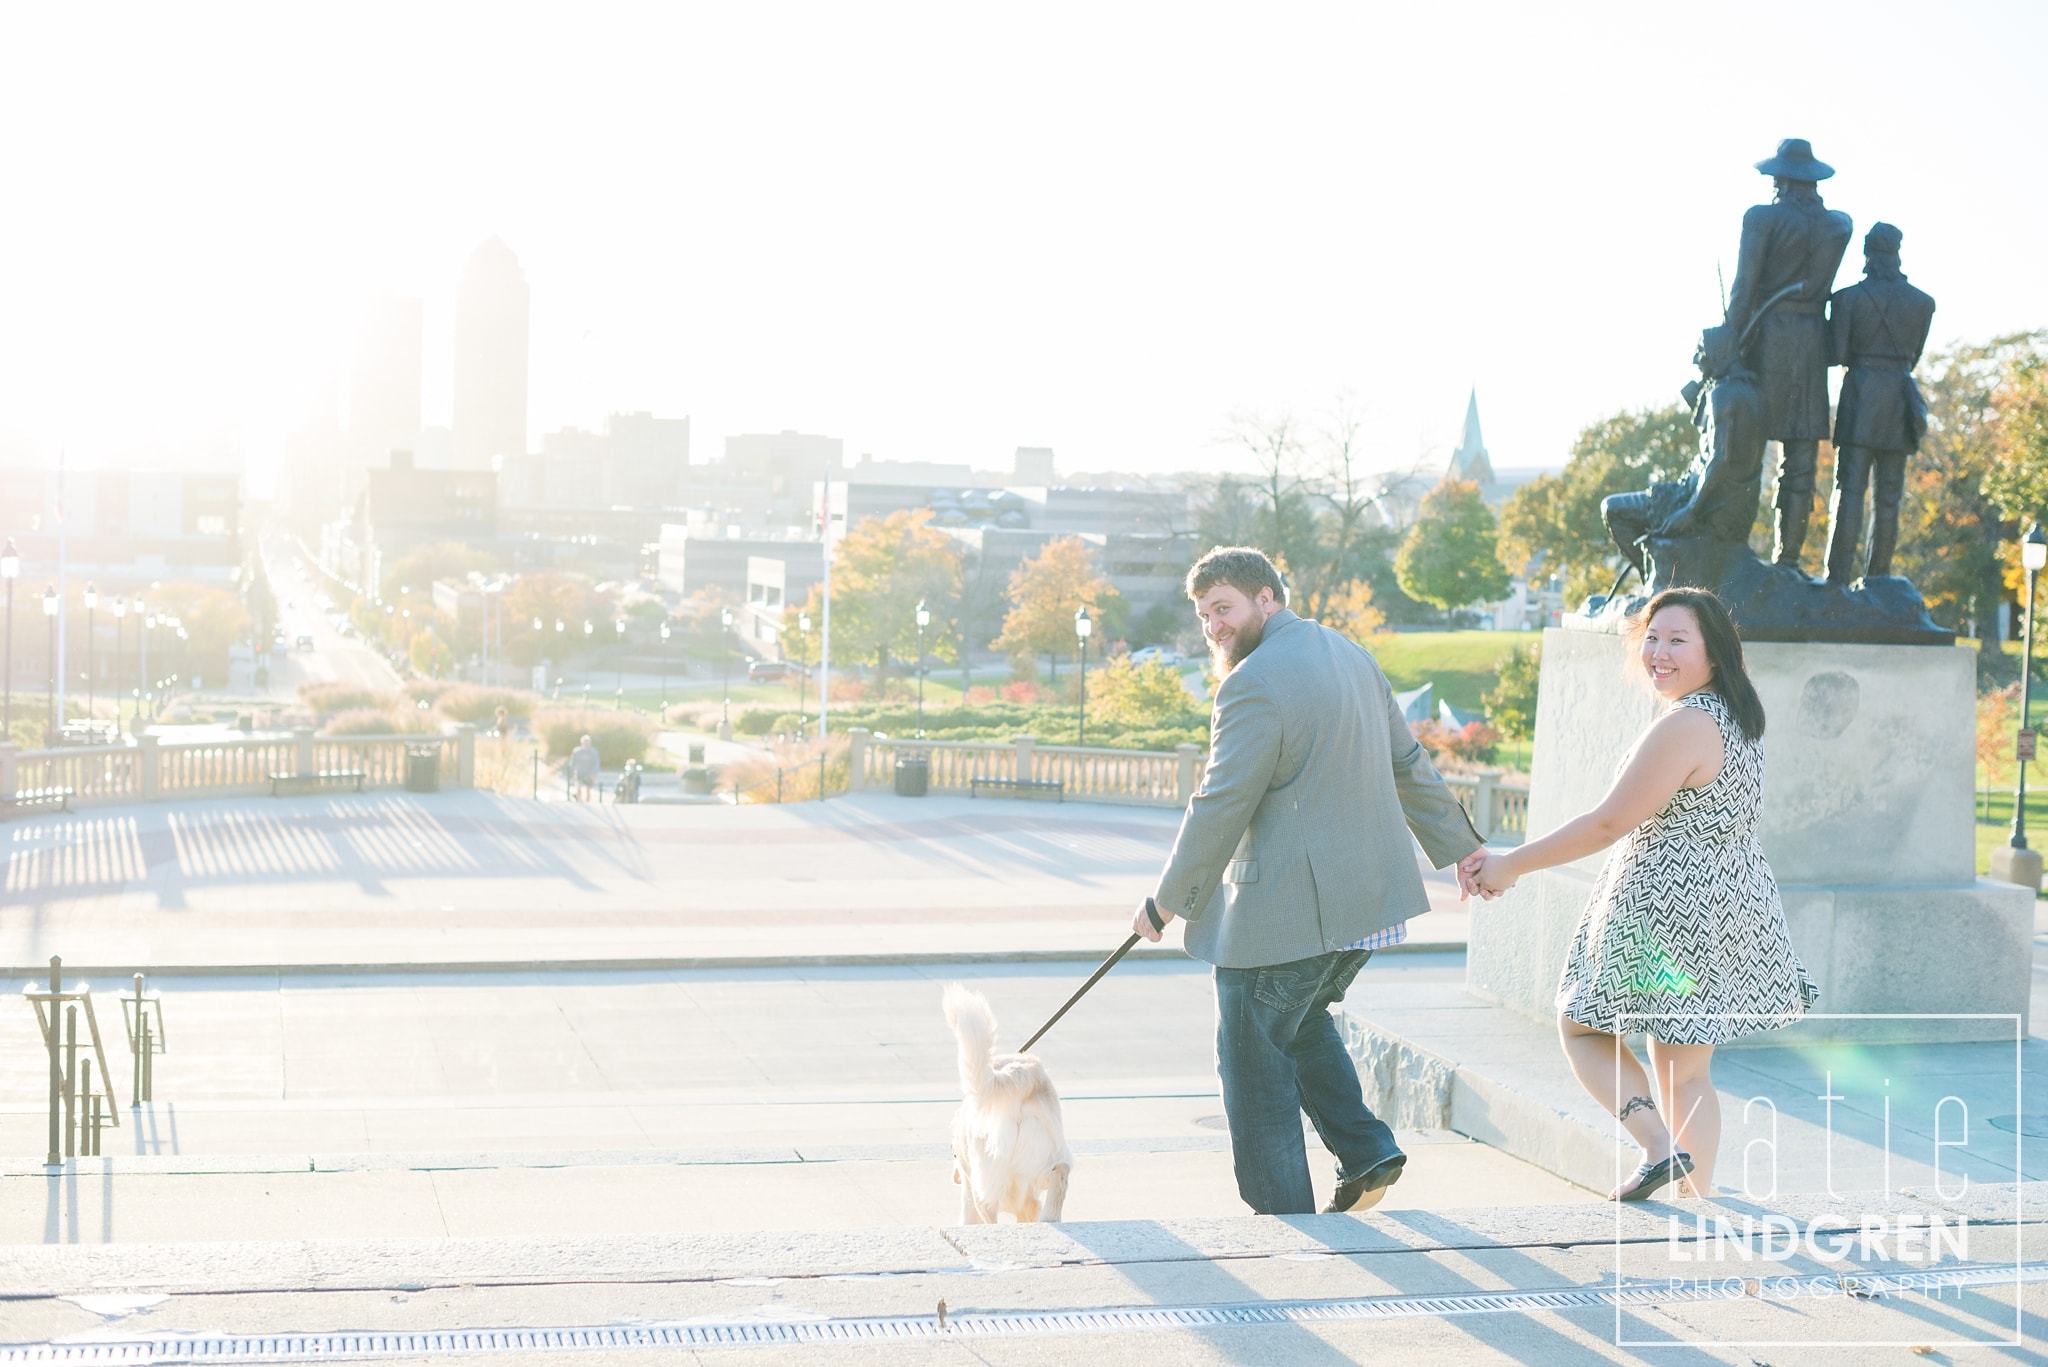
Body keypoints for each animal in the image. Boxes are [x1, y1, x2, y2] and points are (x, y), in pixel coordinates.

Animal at [937, 987, 1073, 1221]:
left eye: (953, 1154)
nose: (954, 1177)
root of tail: (1023, 1077)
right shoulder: (1028, 1201)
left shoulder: (970, 1189)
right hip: (1048, 1153)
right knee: (1061, 1170)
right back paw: (1050, 1217)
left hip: (984, 1183)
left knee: (989, 1215)